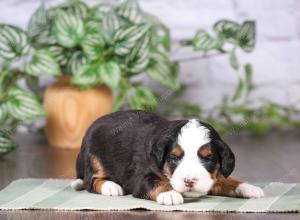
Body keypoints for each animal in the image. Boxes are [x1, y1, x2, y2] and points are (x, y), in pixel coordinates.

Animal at [71, 109, 264, 205]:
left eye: (208, 158)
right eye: (174, 158)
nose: (189, 181)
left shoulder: (211, 178)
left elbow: (225, 179)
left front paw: (248, 187)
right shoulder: (139, 177)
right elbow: (154, 182)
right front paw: (169, 194)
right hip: (93, 157)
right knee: (91, 181)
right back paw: (111, 187)